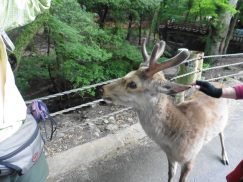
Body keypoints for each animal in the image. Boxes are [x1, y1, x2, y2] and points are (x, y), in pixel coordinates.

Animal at [99, 37, 229, 181]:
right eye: (127, 74)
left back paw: (225, 157)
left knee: (223, 134)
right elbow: (170, 174)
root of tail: (220, 83)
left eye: (132, 84)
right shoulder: (170, 156)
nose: (102, 89)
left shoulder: (190, 158)